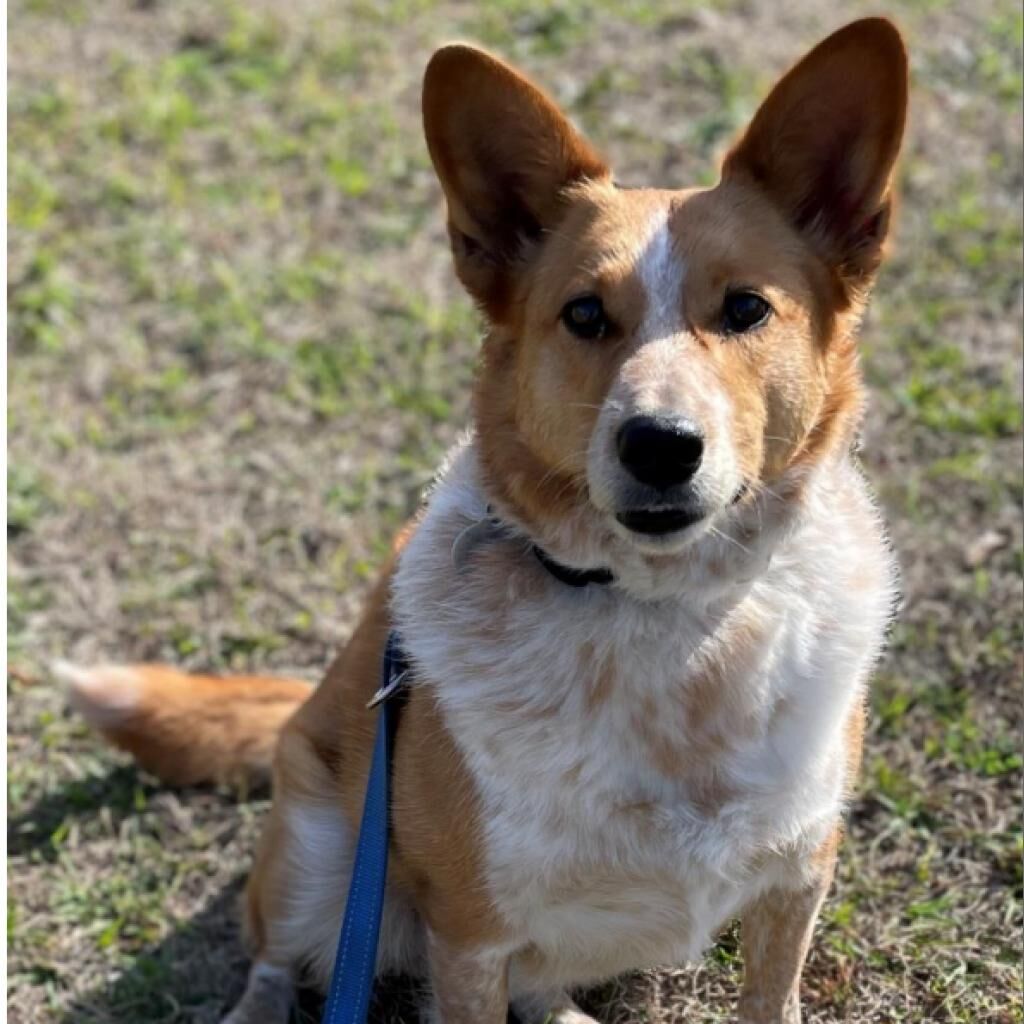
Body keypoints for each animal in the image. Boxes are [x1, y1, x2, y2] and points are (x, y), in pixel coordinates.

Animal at [60, 17, 908, 1023]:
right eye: (584, 314)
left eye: (745, 308)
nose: (659, 445)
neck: (669, 619)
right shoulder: (469, 935)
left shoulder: (796, 882)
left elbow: (770, 996)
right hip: (318, 857)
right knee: (274, 950)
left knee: (541, 991)